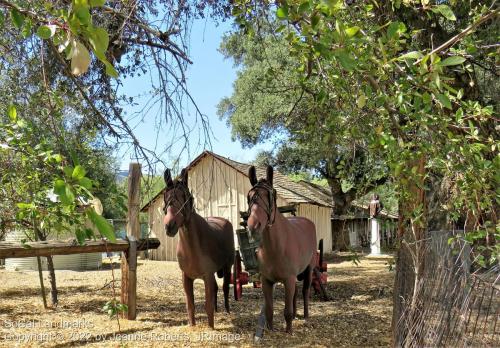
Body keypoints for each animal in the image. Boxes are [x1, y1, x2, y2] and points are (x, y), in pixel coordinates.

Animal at [163, 167, 235, 328]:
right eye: (166, 197)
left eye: (187, 197)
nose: (170, 225)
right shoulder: (187, 277)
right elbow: (190, 305)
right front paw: (192, 325)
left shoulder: (207, 276)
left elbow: (207, 305)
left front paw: (211, 327)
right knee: (216, 289)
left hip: (228, 267)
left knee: (225, 288)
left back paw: (227, 311)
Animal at [246, 166, 316, 334]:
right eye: (249, 197)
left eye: (270, 196)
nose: (253, 226)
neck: (276, 248)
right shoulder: (266, 282)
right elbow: (269, 310)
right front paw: (271, 329)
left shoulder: (288, 279)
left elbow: (287, 311)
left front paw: (289, 331)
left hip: (309, 269)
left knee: (305, 291)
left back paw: (305, 315)